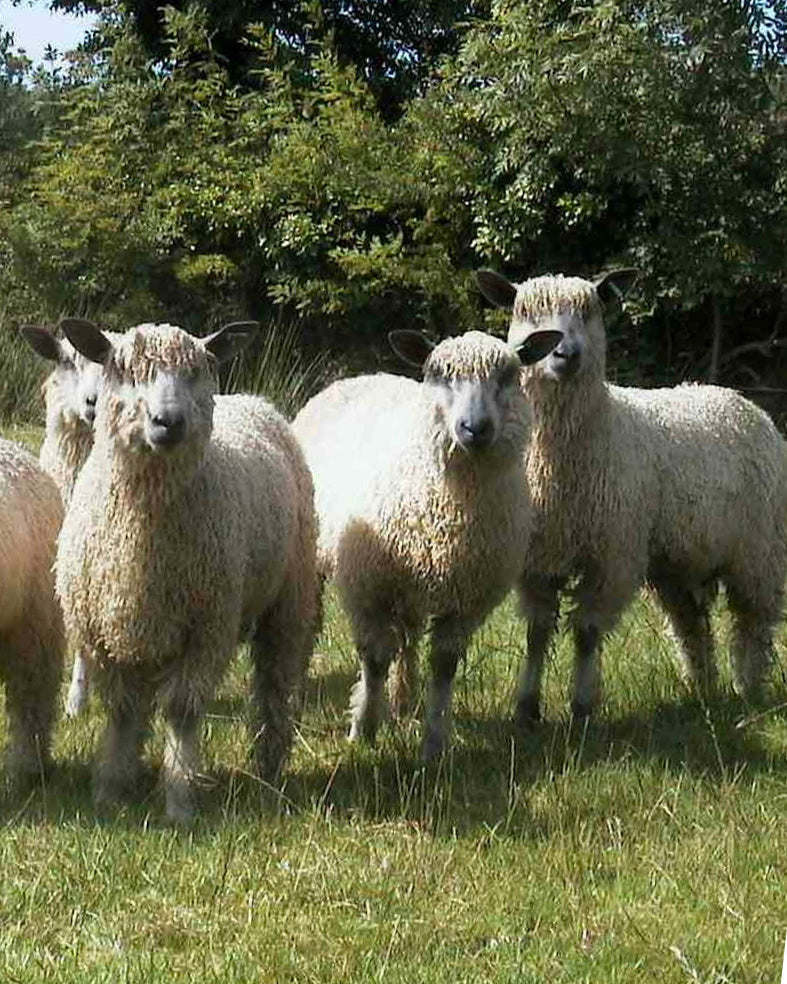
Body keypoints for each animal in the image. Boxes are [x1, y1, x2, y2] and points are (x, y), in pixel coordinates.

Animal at [53, 322, 320, 824]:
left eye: (195, 372)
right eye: (126, 371)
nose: (169, 421)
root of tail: (254, 399)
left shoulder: (206, 627)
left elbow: (180, 711)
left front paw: (179, 797)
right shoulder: (103, 636)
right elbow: (122, 711)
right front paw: (112, 788)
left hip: (289, 595)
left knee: (275, 679)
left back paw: (270, 764)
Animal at [294, 326, 560, 756]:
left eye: (508, 375)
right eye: (439, 374)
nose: (475, 428)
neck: (454, 510)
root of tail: (357, 376)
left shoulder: (467, 597)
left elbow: (444, 665)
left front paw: (434, 740)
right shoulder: (369, 585)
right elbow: (373, 659)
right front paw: (363, 728)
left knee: (408, 636)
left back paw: (404, 703)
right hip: (312, 557)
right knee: (310, 627)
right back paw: (298, 699)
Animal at [478, 270, 787, 724]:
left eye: (589, 311)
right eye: (526, 312)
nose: (565, 353)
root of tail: (740, 401)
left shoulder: (612, 556)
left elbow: (587, 632)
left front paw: (582, 708)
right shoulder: (539, 558)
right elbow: (537, 632)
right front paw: (527, 708)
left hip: (758, 552)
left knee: (755, 622)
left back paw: (748, 687)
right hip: (679, 564)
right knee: (691, 624)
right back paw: (702, 686)